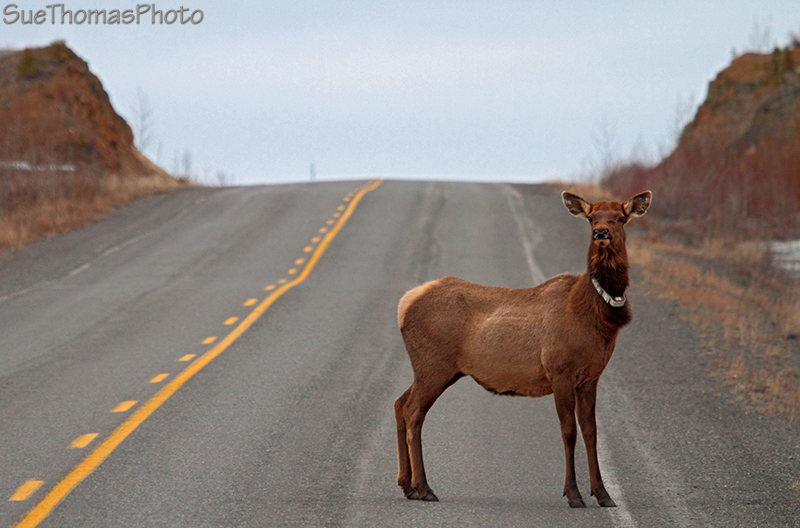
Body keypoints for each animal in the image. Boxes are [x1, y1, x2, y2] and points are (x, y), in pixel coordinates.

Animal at [394, 189, 652, 507]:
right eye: (592, 217)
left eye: (620, 217)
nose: (601, 233)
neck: (596, 317)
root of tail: (404, 303)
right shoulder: (560, 370)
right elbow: (569, 432)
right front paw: (573, 493)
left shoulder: (591, 376)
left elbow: (591, 433)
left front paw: (603, 494)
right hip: (433, 365)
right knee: (413, 413)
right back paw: (424, 487)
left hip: (438, 369)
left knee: (399, 404)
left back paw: (406, 484)